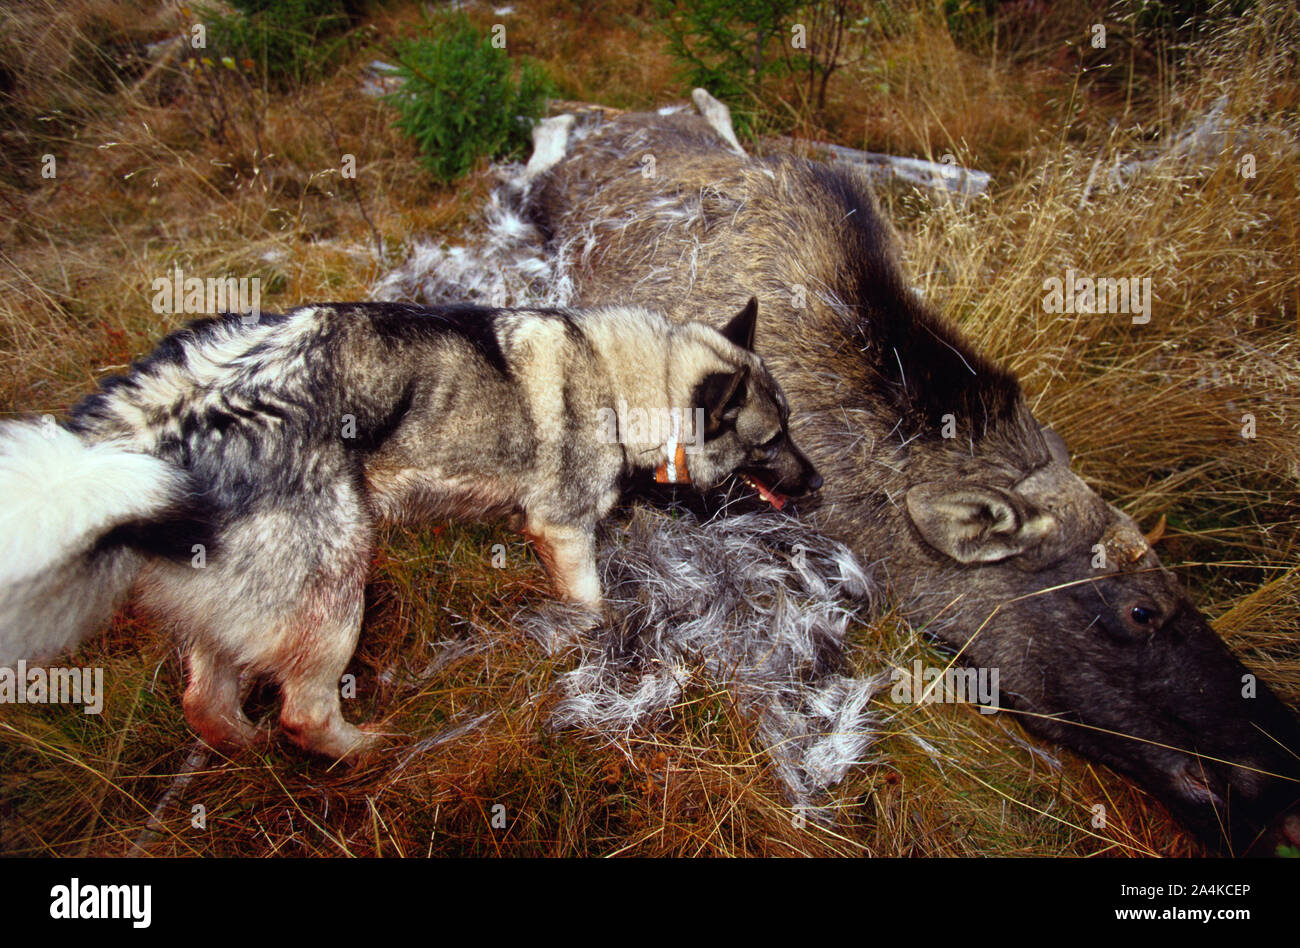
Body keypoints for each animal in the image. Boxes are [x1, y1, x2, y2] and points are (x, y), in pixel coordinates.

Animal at [0, 299, 816, 759]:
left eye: (790, 427)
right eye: (772, 440)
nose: (816, 482)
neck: (621, 383)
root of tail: (169, 415)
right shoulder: (560, 531)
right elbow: (590, 603)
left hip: (231, 609)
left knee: (207, 706)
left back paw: (249, 753)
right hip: (338, 593)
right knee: (304, 712)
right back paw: (366, 752)